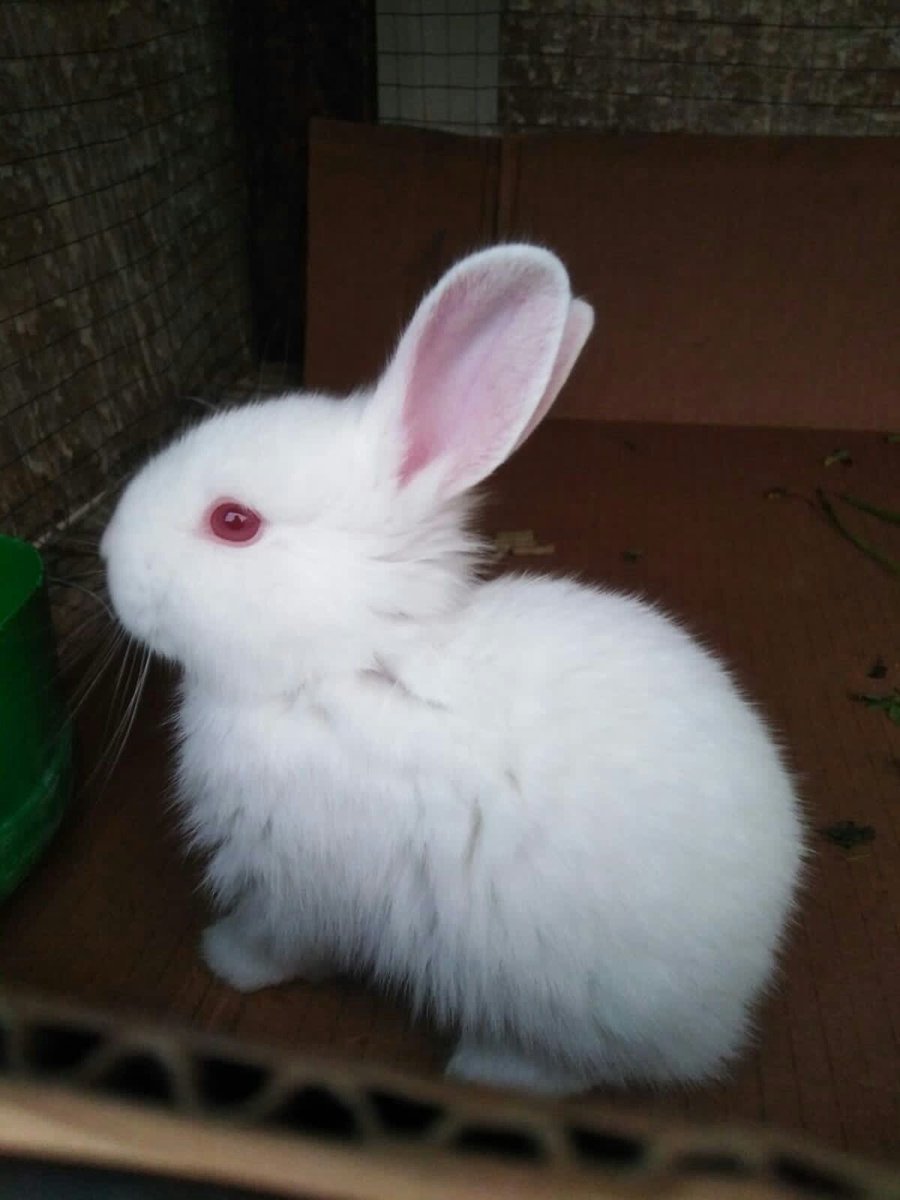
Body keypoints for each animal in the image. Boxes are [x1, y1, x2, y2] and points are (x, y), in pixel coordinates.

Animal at [101, 244, 804, 1096]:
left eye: (233, 522)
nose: (106, 559)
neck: (349, 661)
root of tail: (735, 1004)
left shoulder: (298, 887)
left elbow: (281, 943)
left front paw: (224, 959)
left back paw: (485, 1068)